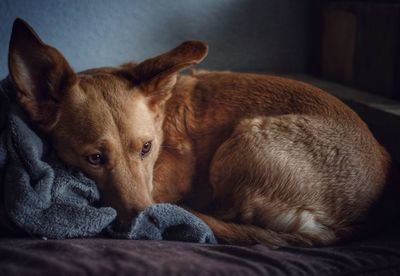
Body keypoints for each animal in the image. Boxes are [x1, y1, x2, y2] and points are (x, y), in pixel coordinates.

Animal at [7, 19, 390, 247]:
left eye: (146, 148)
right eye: (95, 158)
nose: (147, 223)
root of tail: (349, 224)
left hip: (242, 142)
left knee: (227, 216)